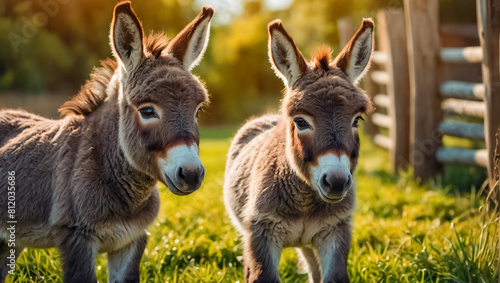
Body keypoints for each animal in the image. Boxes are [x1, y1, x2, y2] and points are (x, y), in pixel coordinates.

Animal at [225, 18, 374, 282]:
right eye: (301, 122)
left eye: (357, 120)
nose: (336, 182)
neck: (305, 204)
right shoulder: (261, 234)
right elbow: (261, 275)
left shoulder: (335, 231)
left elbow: (332, 276)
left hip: (308, 242)